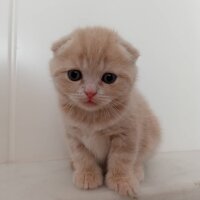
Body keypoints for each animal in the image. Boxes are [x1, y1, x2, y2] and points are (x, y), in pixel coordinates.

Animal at [50, 26, 161, 197]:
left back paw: (137, 171)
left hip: (152, 136)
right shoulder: (74, 135)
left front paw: (122, 180)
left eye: (109, 78)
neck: (91, 118)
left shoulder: (127, 135)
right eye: (74, 75)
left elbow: (121, 159)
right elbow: (82, 156)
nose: (90, 92)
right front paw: (87, 175)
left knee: (140, 158)